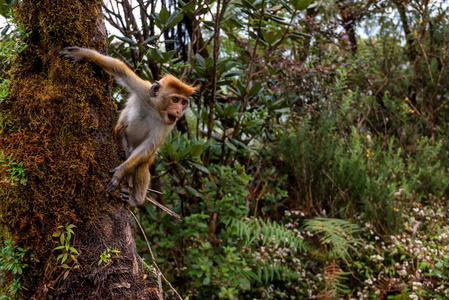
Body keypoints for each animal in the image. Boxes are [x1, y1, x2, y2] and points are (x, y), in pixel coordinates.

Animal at [60, 46, 198, 206]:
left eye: (183, 102)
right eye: (175, 99)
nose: (179, 111)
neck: (155, 109)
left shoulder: (168, 125)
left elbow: (148, 147)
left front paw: (120, 172)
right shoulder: (144, 90)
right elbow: (120, 70)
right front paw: (83, 54)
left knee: (142, 163)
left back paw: (135, 199)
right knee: (121, 128)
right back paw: (123, 151)